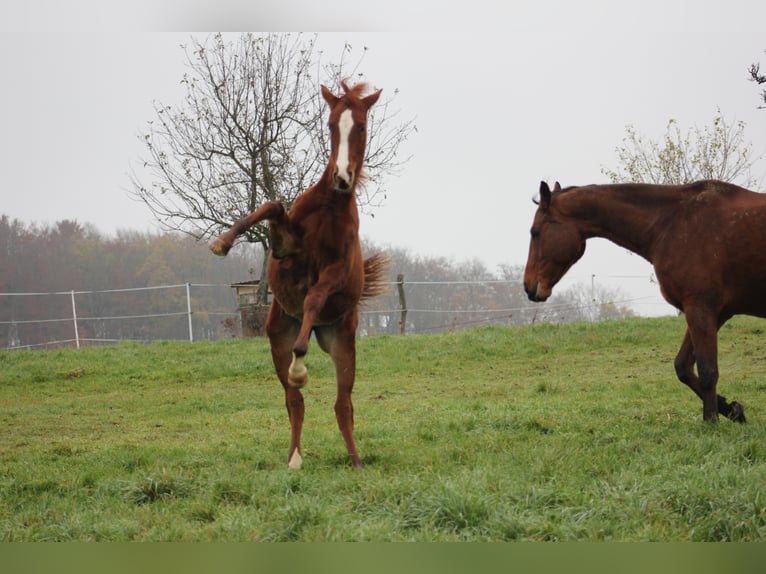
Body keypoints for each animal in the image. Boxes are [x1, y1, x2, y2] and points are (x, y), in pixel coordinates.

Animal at [210, 81, 388, 469]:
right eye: (332, 124)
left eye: (361, 126)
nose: (341, 178)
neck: (332, 206)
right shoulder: (286, 248)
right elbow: (271, 205)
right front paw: (223, 241)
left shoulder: (336, 271)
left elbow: (314, 297)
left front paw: (300, 365)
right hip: (277, 338)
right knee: (295, 402)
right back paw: (294, 458)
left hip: (342, 344)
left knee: (342, 404)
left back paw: (355, 459)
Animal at [523, 179, 766, 423]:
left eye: (535, 232)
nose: (528, 286)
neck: (673, 223)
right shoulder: (714, 313)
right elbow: (683, 367)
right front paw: (733, 409)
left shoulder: (701, 308)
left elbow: (707, 372)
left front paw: (711, 421)